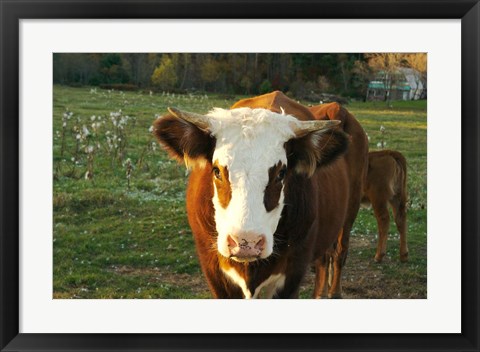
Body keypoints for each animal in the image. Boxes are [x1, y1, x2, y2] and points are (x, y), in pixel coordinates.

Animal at [155, 92, 352, 298]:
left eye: (281, 173)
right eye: (217, 171)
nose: (246, 243)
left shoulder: (293, 273)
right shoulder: (215, 272)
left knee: (338, 253)